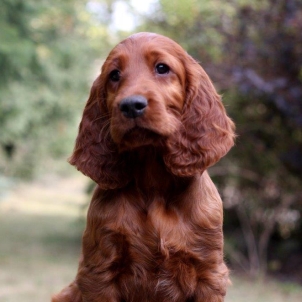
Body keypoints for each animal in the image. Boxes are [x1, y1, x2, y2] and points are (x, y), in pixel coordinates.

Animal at [52, 33, 236, 302]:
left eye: (162, 68)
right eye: (114, 75)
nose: (130, 105)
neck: (154, 185)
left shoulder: (209, 273)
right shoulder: (99, 272)